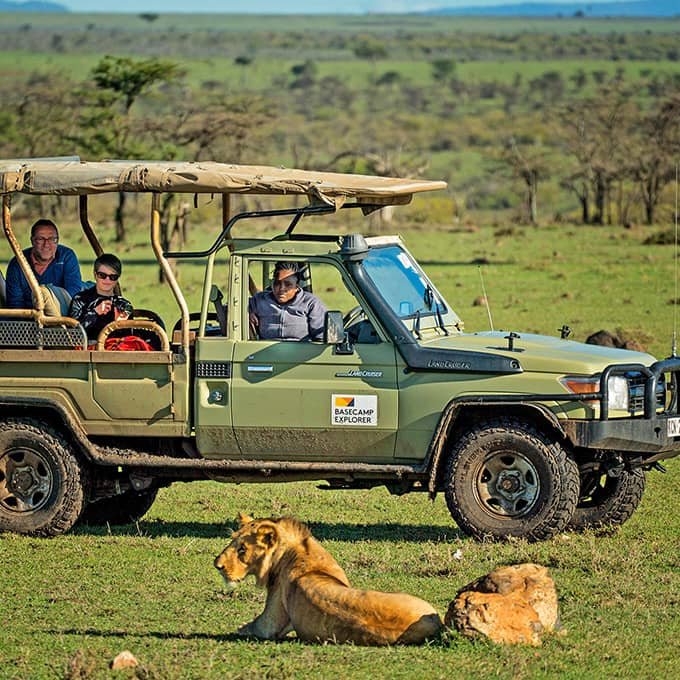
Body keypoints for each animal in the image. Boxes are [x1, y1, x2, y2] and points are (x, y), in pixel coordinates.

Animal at [215, 512, 444, 644]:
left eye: (242, 549)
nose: (217, 565)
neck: (296, 551)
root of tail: (435, 624)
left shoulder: (270, 621)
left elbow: (250, 627)